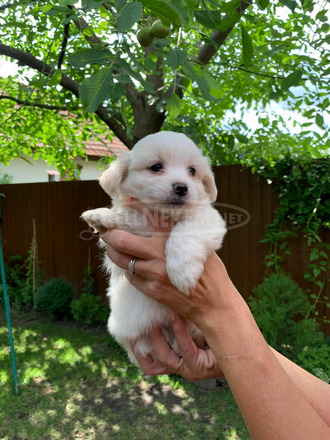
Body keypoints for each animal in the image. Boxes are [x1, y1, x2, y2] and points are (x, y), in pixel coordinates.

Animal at [82, 131, 227, 364]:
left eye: (192, 171)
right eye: (156, 167)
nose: (182, 187)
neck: (164, 215)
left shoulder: (206, 218)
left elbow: (185, 233)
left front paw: (182, 273)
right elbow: (129, 217)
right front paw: (101, 216)